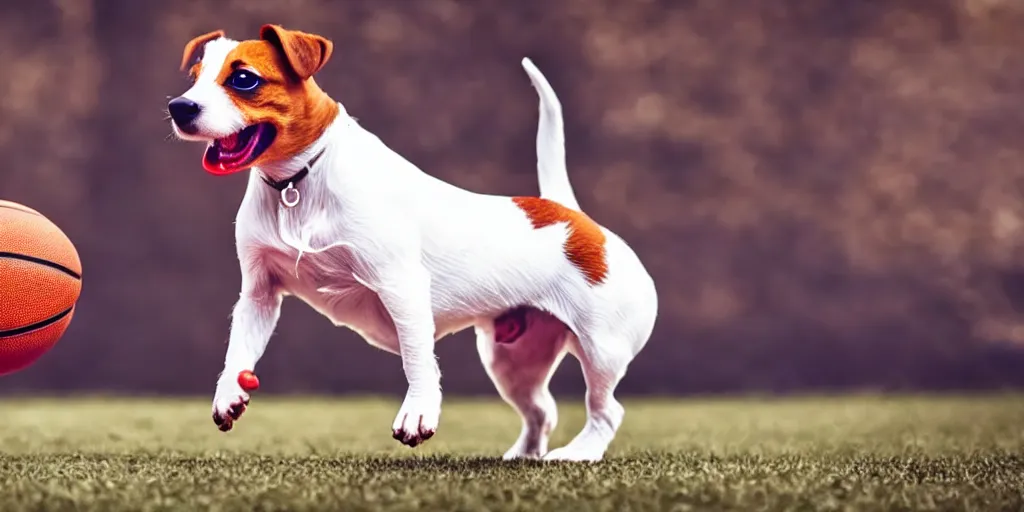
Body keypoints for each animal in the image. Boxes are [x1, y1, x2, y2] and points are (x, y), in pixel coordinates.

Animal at [162, 24, 651, 464]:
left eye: (244, 79)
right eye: (195, 77)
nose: (178, 106)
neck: (298, 182)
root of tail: (571, 213)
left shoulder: (401, 285)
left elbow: (418, 359)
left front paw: (417, 412)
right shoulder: (259, 294)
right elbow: (239, 347)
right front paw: (229, 390)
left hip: (602, 350)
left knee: (607, 409)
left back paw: (580, 453)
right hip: (512, 361)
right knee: (542, 410)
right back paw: (524, 454)